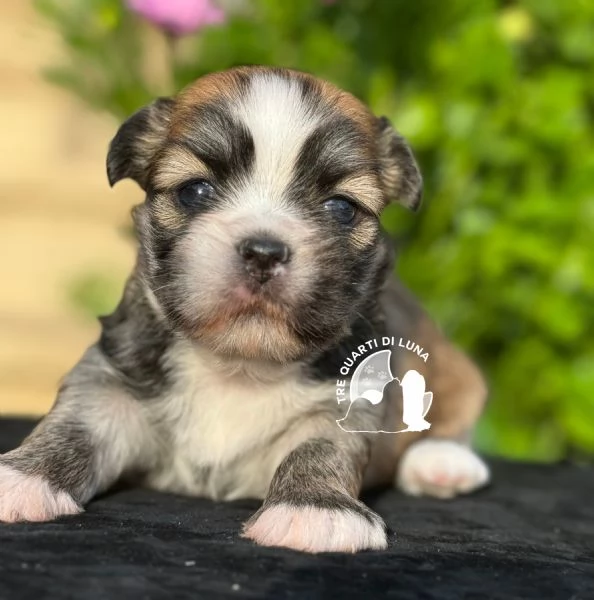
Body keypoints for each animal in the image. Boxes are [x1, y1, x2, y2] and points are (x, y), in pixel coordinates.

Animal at [0, 67, 486, 552]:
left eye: (342, 209)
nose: (264, 252)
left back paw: (441, 462)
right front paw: (23, 477)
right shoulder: (112, 380)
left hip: (452, 369)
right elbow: (73, 426)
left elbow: (320, 448)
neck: (240, 363)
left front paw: (315, 510)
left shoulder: (342, 400)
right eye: (194, 191)